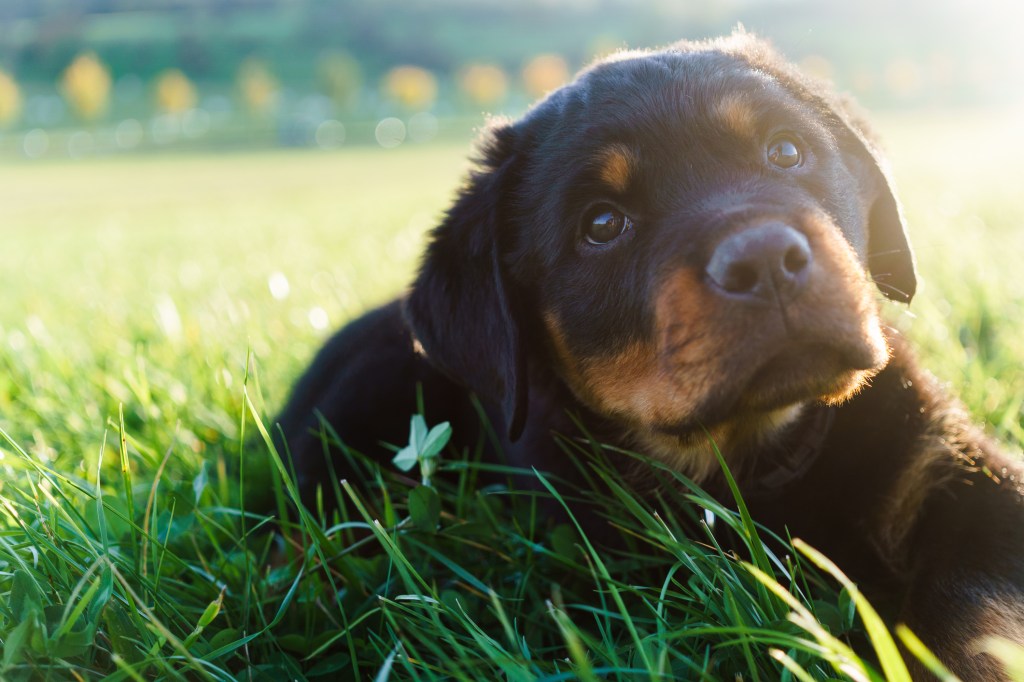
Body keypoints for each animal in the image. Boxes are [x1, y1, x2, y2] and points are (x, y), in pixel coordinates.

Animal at [274, 33, 1024, 679]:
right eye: (603, 225)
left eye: (786, 152)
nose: (764, 260)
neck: (755, 458)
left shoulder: (965, 472)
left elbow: (974, 616)